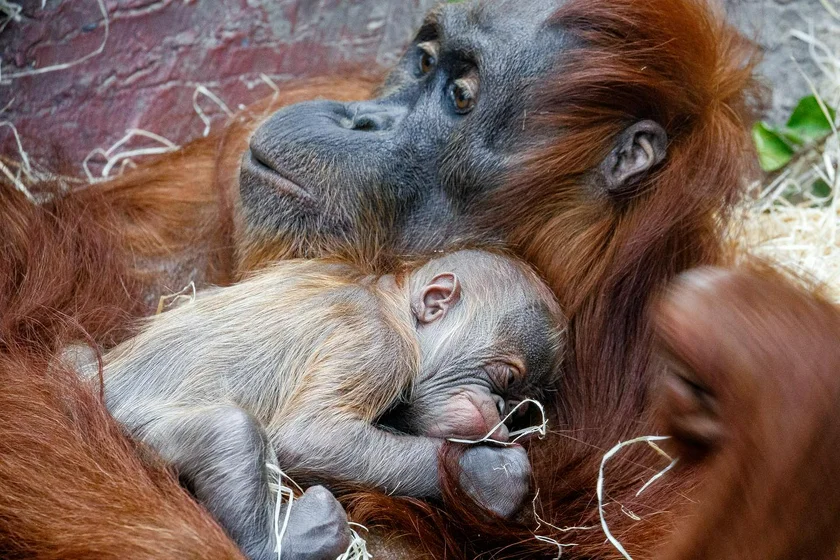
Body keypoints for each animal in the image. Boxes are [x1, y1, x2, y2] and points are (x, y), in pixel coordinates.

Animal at [97, 249, 565, 560]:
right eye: (505, 379)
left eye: (521, 405)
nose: (502, 410)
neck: (389, 302)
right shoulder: (380, 346)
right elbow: (309, 436)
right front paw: (487, 474)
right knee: (229, 429)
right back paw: (278, 544)